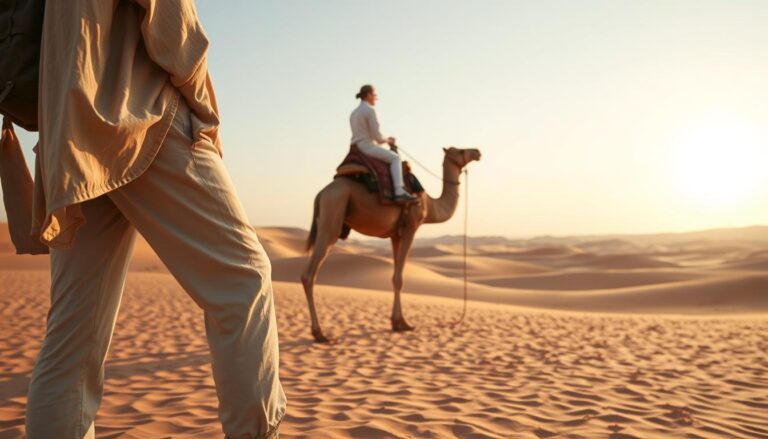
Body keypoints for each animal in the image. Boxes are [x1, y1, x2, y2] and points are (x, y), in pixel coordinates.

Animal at [302, 146, 482, 343]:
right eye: (461, 151)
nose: (477, 152)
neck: (430, 205)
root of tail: (321, 194)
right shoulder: (411, 227)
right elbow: (400, 278)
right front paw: (402, 323)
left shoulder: (396, 235)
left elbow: (395, 277)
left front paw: (398, 322)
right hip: (332, 217)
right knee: (309, 275)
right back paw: (319, 333)